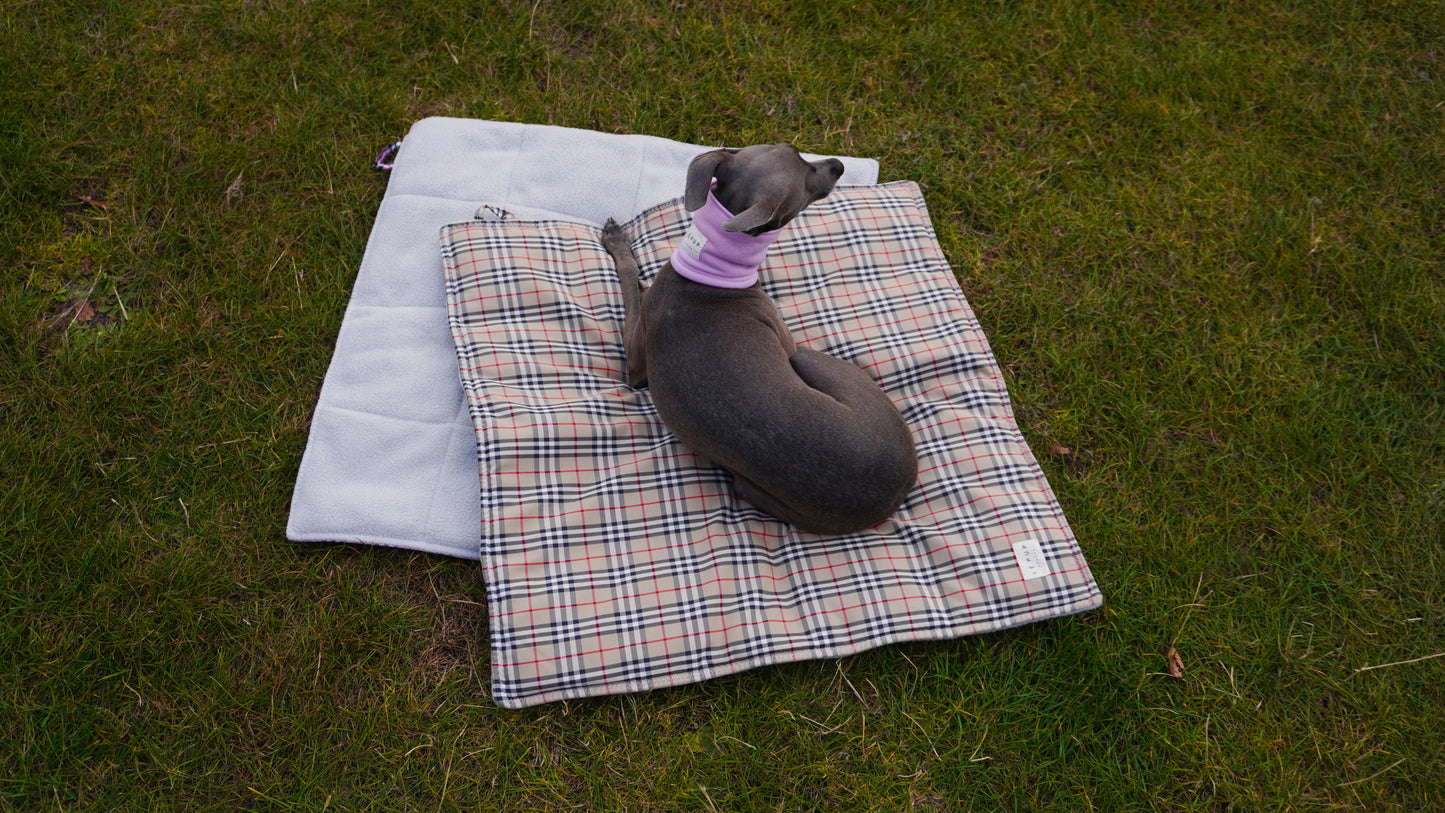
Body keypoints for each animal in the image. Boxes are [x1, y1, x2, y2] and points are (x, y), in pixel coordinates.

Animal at [604, 142, 919, 537]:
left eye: (794, 149)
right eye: (807, 181)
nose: (839, 165)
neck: (708, 279)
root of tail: (893, 497)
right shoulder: (637, 369)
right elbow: (632, 285)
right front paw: (619, 243)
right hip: (809, 360)